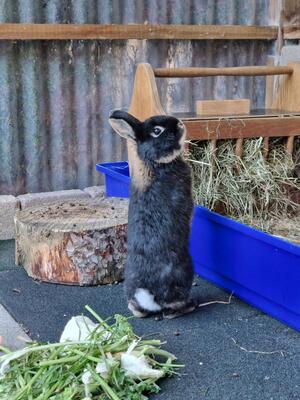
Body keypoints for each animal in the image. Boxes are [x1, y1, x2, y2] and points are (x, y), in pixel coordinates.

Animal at [108, 111, 195, 320]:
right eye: (157, 131)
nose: (180, 124)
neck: (155, 163)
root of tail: (146, 293)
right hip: (183, 274)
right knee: (171, 309)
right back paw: (189, 306)